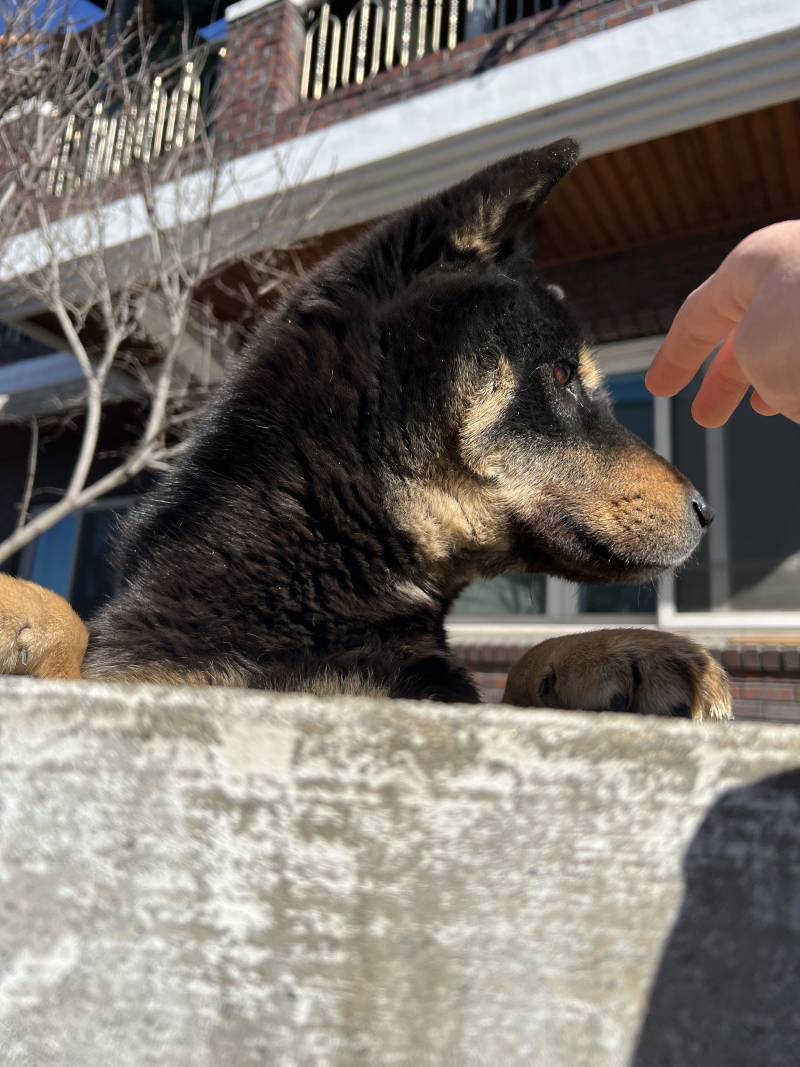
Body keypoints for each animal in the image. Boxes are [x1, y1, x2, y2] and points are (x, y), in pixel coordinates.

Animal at [0, 137, 733, 721]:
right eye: (561, 375)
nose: (706, 510)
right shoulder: (147, 670)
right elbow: (79, 639)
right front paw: (23, 613)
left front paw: (618, 652)